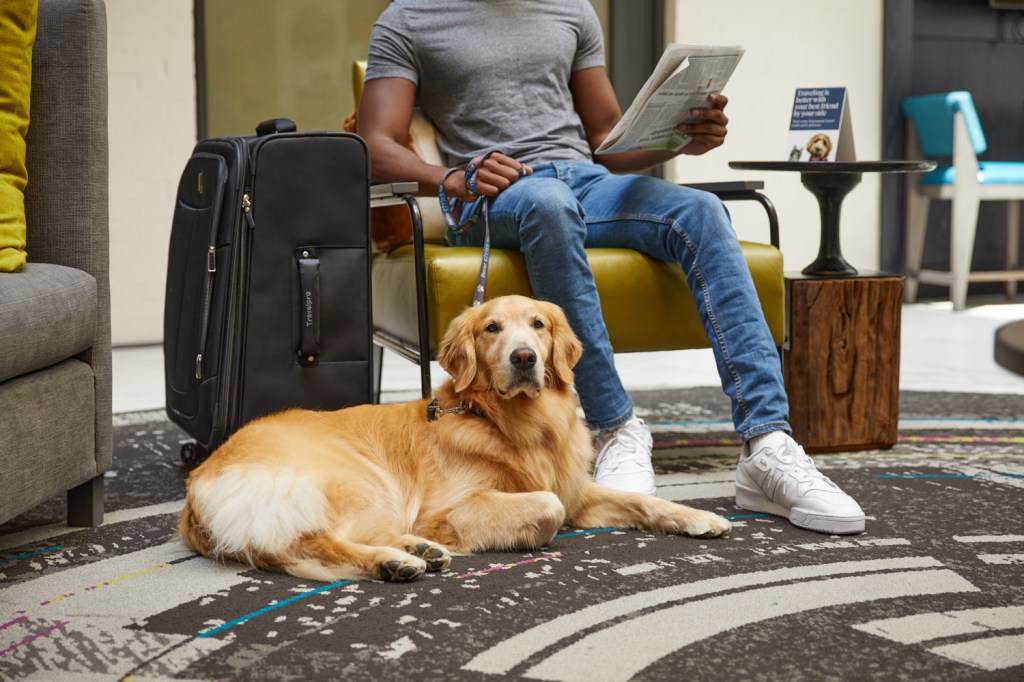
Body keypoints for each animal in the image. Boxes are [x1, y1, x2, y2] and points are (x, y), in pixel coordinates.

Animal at [180, 292, 733, 577]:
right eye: (491, 328)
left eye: (538, 325)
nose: (524, 357)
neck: (507, 421)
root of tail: (199, 480)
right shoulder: (452, 506)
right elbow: (546, 507)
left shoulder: (576, 491)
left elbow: (641, 501)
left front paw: (699, 516)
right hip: (357, 480)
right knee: (317, 541)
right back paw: (394, 561)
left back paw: (417, 552)